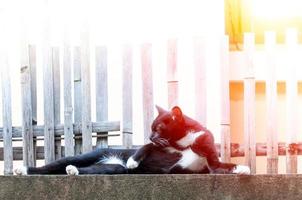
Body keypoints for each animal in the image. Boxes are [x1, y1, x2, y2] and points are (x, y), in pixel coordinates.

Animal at [14, 105, 249, 176]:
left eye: (158, 128)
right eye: (151, 129)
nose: (150, 134)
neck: (186, 142)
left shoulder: (209, 163)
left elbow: (221, 166)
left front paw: (243, 169)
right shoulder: (158, 148)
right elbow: (143, 147)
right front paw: (133, 161)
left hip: (109, 170)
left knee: (85, 170)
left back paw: (73, 171)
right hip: (88, 155)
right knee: (51, 166)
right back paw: (23, 170)